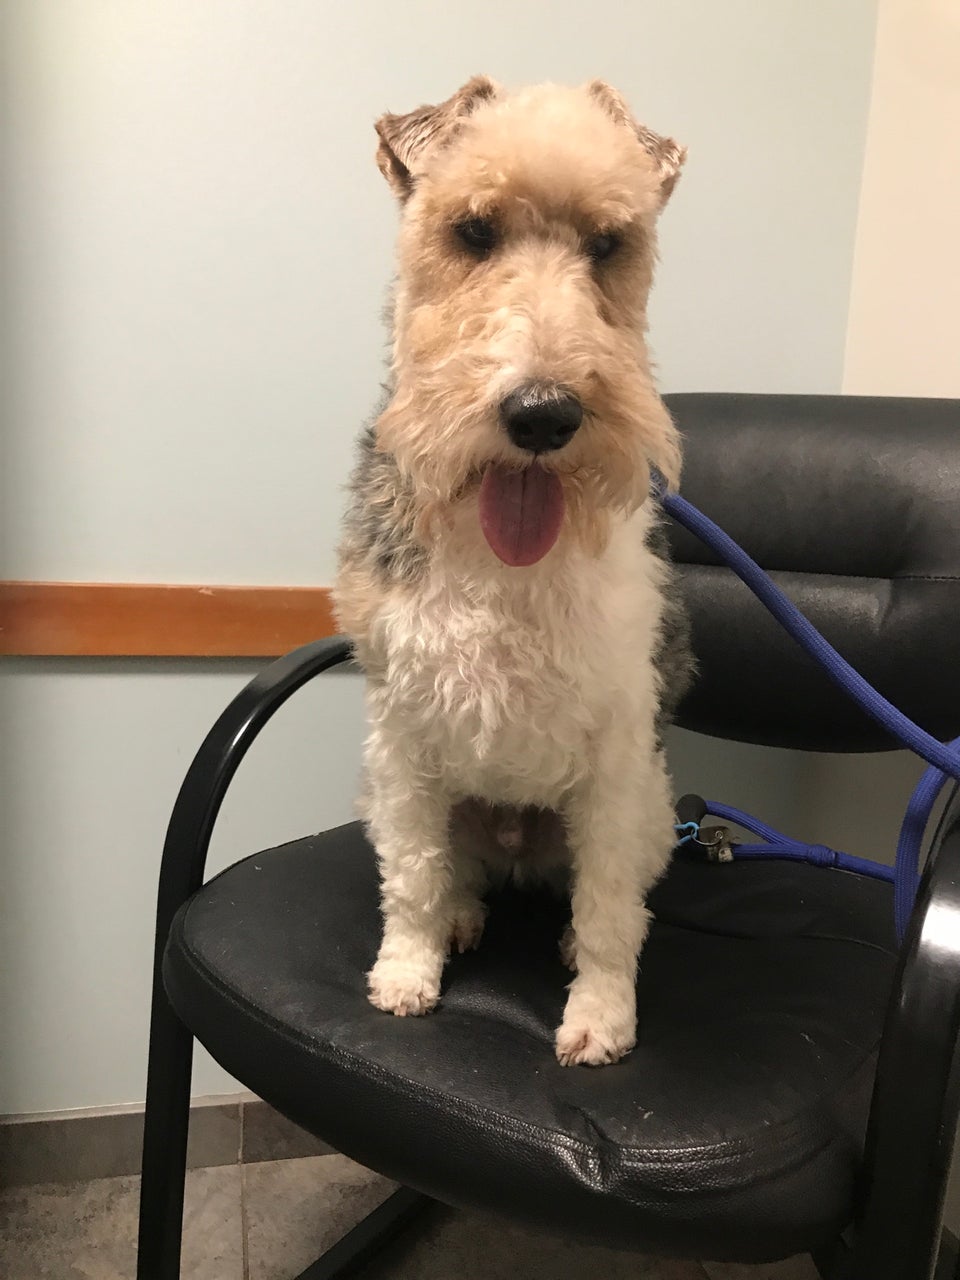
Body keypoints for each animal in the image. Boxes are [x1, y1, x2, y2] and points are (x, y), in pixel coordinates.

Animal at [334, 76, 693, 1066]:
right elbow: (413, 880)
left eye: (607, 244)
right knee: (449, 870)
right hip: (391, 792)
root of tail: (513, 833)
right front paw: (406, 976)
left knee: (609, 889)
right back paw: (460, 916)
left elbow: (609, 912)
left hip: (654, 809)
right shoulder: (403, 732)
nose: (542, 414)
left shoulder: (618, 749)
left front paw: (601, 1020)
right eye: (473, 231)